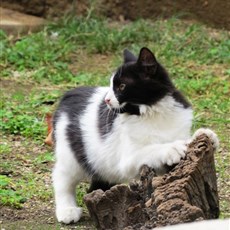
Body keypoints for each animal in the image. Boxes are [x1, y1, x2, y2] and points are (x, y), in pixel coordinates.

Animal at [52, 47, 219, 224]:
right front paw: (170, 149)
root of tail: (68, 94)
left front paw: (205, 135)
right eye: (112, 86)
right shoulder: (127, 159)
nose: (106, 100)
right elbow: (151, 149)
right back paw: (67, 210)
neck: (151, 112)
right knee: (61, 176)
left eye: (121, 86)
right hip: (70, 155)